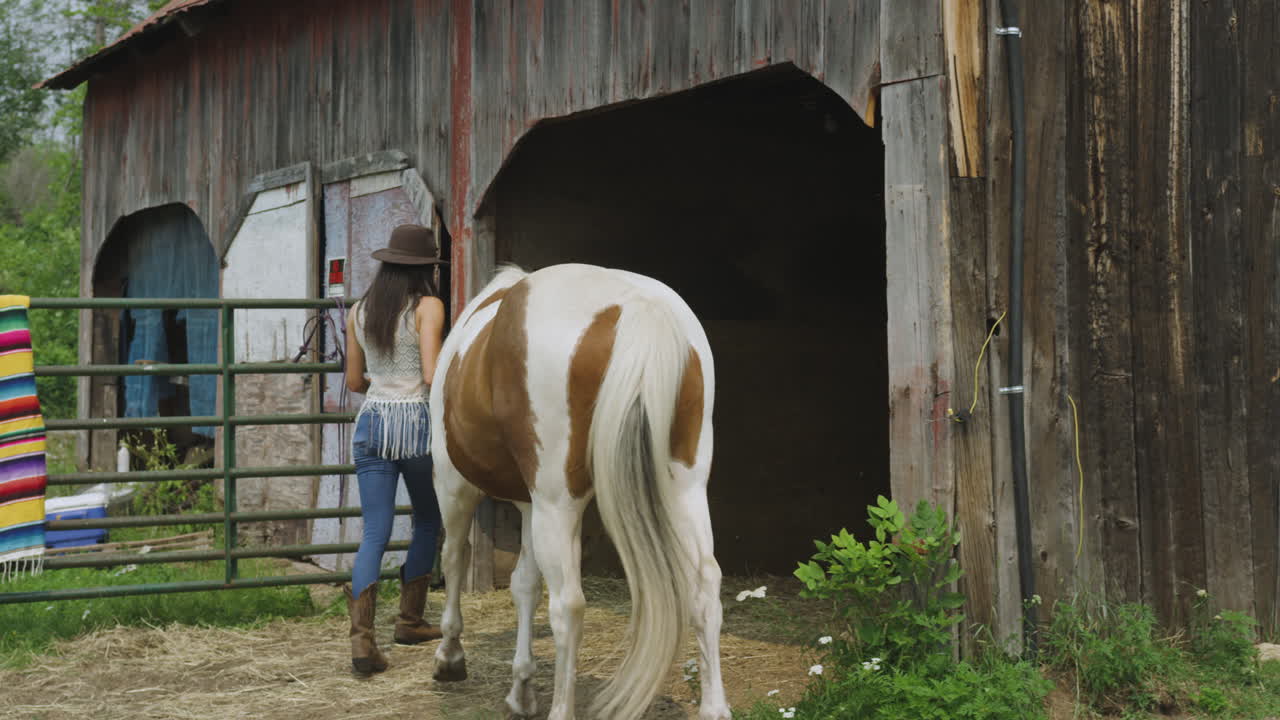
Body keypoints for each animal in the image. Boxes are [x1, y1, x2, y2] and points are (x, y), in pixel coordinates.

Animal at [427, 263, 729, 720]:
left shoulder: (454, 485)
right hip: (685, 488)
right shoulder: (530, 504)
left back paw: (560, 708)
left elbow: (454, 559)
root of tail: (636, 307)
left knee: (568, 605)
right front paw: (521, 687)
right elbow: (524, 583)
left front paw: (450, 656)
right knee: (705, 585)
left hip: (556, 504)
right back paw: (715, 706)